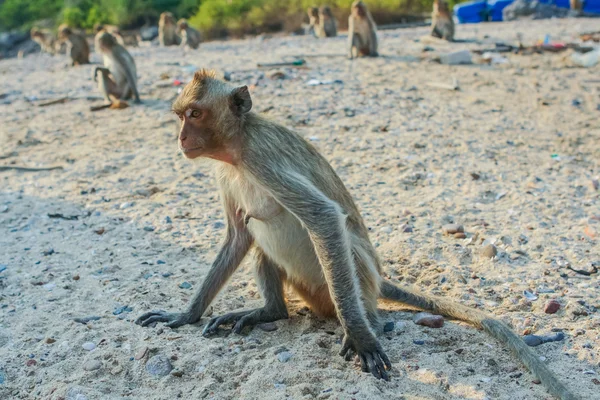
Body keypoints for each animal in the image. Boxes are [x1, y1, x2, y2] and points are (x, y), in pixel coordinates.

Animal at [135, 69, 576, 400]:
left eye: (195, 114)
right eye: (181, 116)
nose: (181, 138)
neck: (237, 150)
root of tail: (376, 282)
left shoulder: (263, 160)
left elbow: (325, 218)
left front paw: (363, 339)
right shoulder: (224, 174)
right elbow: (237, 238)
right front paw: (186, 315)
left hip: (354, 281)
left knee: (344, 250)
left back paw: (370, 322)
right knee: (261, 245)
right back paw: (271, 311)